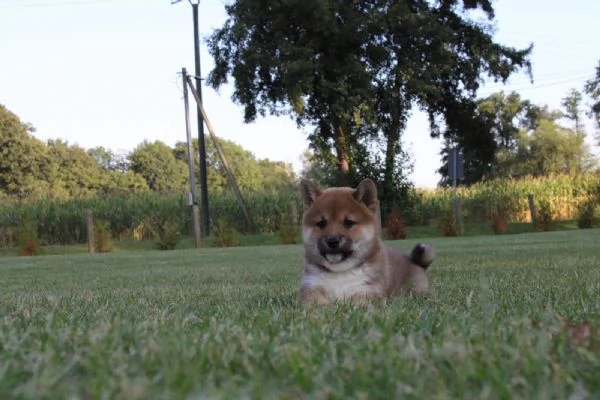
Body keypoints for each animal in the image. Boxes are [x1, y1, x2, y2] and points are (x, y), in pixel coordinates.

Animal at [298, 177, 434, 304]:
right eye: (321, 223)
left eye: (348, 222)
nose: (332, 241)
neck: (340, 272)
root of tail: (416, 262)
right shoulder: (311, 287)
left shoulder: (368, 291)